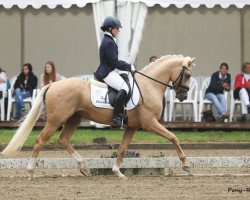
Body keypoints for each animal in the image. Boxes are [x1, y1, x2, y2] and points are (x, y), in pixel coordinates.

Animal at [1, 54, 195, 180]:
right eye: (187, 75)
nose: (183, 96)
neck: (149, 85)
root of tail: (53, 84)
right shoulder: (149, 123)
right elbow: (173, 137)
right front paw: (186, 165)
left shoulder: (132, 126)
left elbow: (123, 148)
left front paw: (117, 172)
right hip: (56, 120)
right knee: (40, 140)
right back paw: (30, 171)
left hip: (74, 119)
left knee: (63, 139)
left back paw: (84, 168)